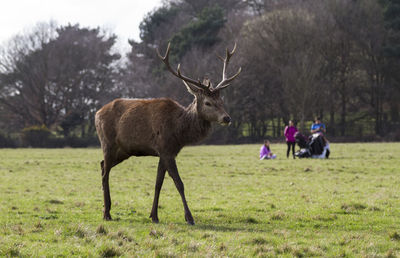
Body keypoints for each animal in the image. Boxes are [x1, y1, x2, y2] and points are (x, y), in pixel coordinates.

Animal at [95, 42, 241, 224]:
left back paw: (107, 209)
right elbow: (179, 183)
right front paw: (189, 218)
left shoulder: (166, 151)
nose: (227, 118)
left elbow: (158, 183)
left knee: (102, 165)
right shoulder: (165, 149)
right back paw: (107, 213)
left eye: (221, 101)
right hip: (107, 143)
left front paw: (154, 216)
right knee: (105, 172)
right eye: (208, 102)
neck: (178, 131)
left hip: (124, 151)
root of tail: (96, 113)